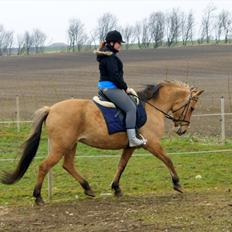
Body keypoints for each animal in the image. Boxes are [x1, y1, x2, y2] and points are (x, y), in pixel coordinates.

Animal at [0, 80, 203, 204]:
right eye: (192, 107)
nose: (182, 130)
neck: (152, 108)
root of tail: (51, 109)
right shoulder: (151, 144)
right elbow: (168, 159)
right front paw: (177, 184)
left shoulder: (131, 146)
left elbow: (121, 165)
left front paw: (116, 188)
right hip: (61, 145)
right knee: (44, 166)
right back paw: (38, 197)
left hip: (71, 145)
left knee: (68, 165)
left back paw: (88, 188)